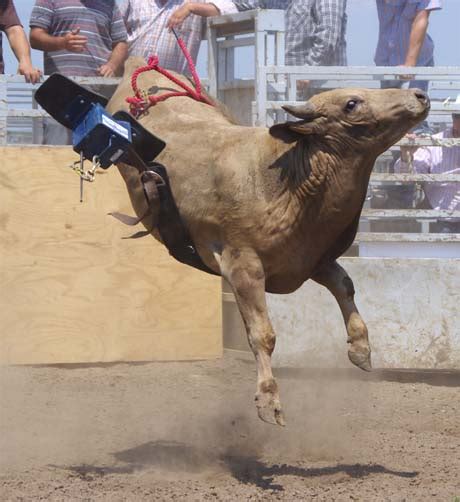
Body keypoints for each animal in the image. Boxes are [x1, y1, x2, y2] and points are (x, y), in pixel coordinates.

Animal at [105, 58, 428, 426]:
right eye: (351, 104)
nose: (420, 95)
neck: (287, 181)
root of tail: (141, 65)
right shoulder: (243, 267)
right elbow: (263, 334)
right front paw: (269, 400)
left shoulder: (310, 259)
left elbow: (345, 286)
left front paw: (361, 350)